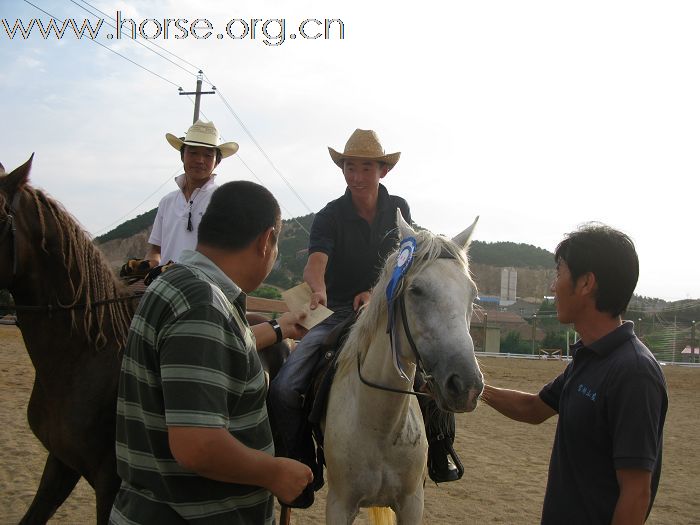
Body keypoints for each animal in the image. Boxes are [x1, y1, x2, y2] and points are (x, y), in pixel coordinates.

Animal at [322, 211, 482, 520]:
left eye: (472, 294)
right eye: (416, 290)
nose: (466, 385)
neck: (379, 426)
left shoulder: (412, 502)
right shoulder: (339, 503)